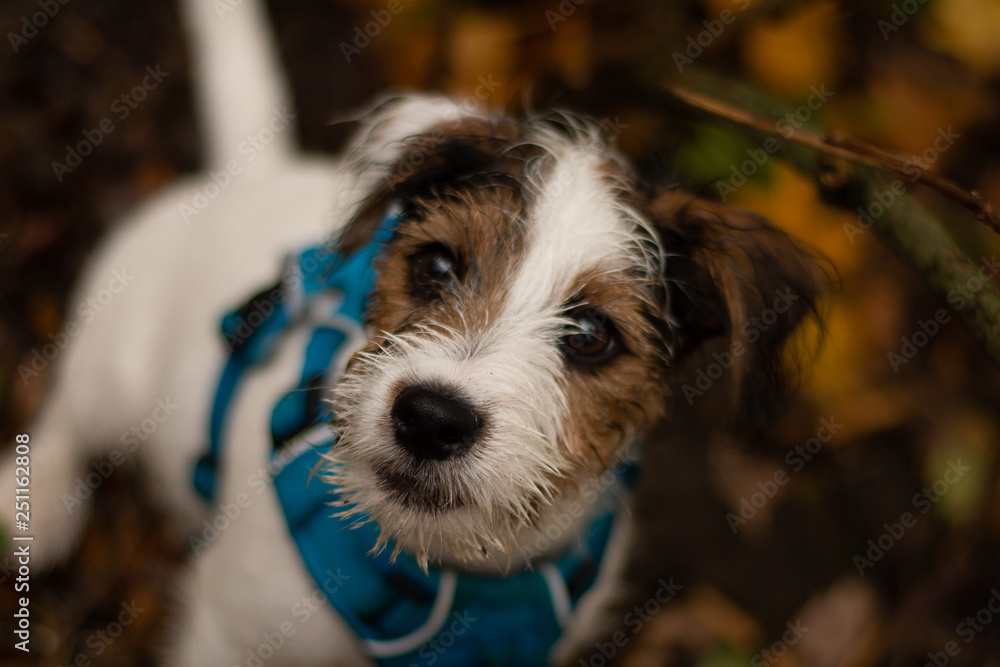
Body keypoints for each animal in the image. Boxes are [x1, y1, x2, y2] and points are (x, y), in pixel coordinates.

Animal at [0, 0, 820, 664]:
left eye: (592, 334)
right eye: (437, 264)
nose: (429, 419)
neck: (447, 578)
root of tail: (246, 177)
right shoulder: (228, 638)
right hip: (117, 363)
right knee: (73, 406)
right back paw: (39, 503)